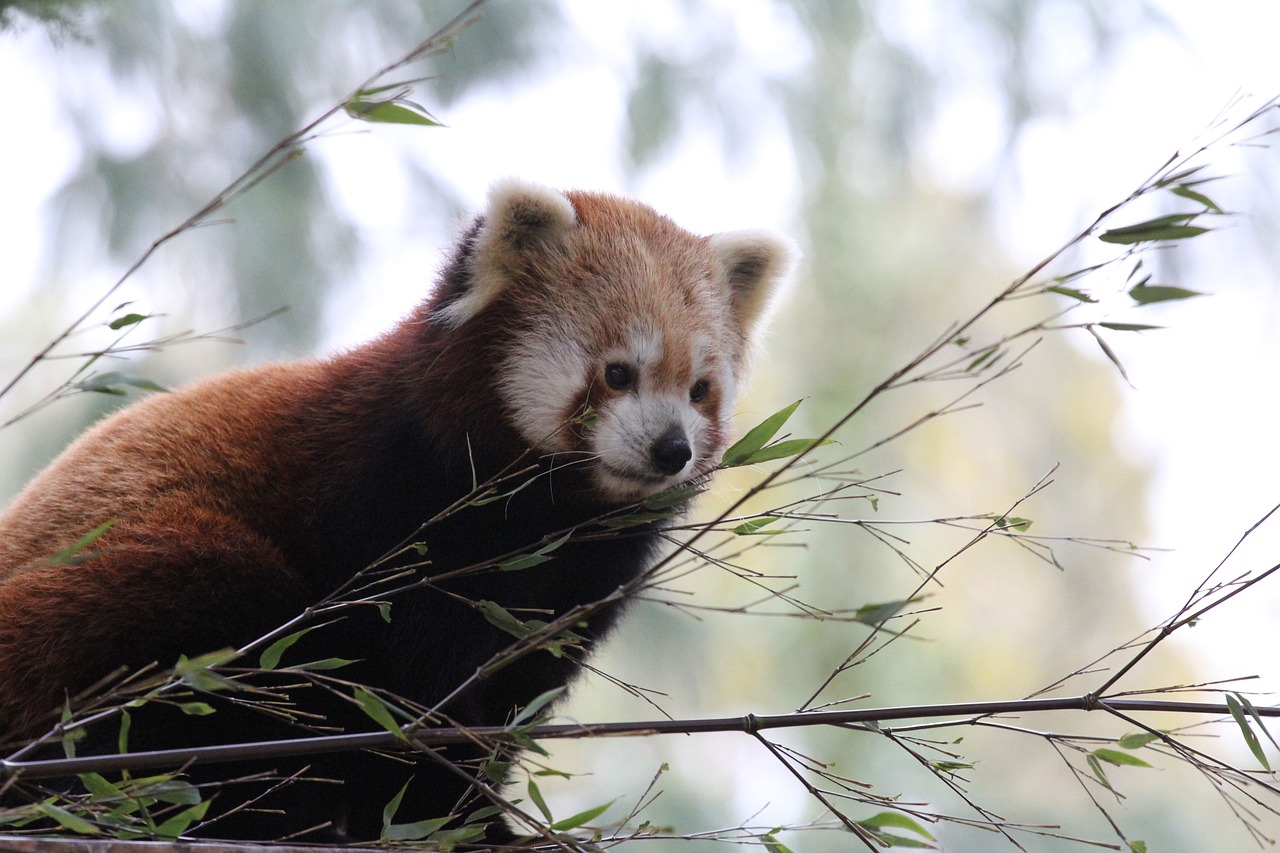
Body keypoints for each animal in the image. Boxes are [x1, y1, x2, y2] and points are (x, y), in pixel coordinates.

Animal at [0, 179, 793, 835]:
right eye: (619, 373)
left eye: (699, 390)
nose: (671, 449)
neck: (544, 513)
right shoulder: (389, 504)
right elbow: (410, 684)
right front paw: (462, 816)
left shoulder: (578, 579)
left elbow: (513, 689)